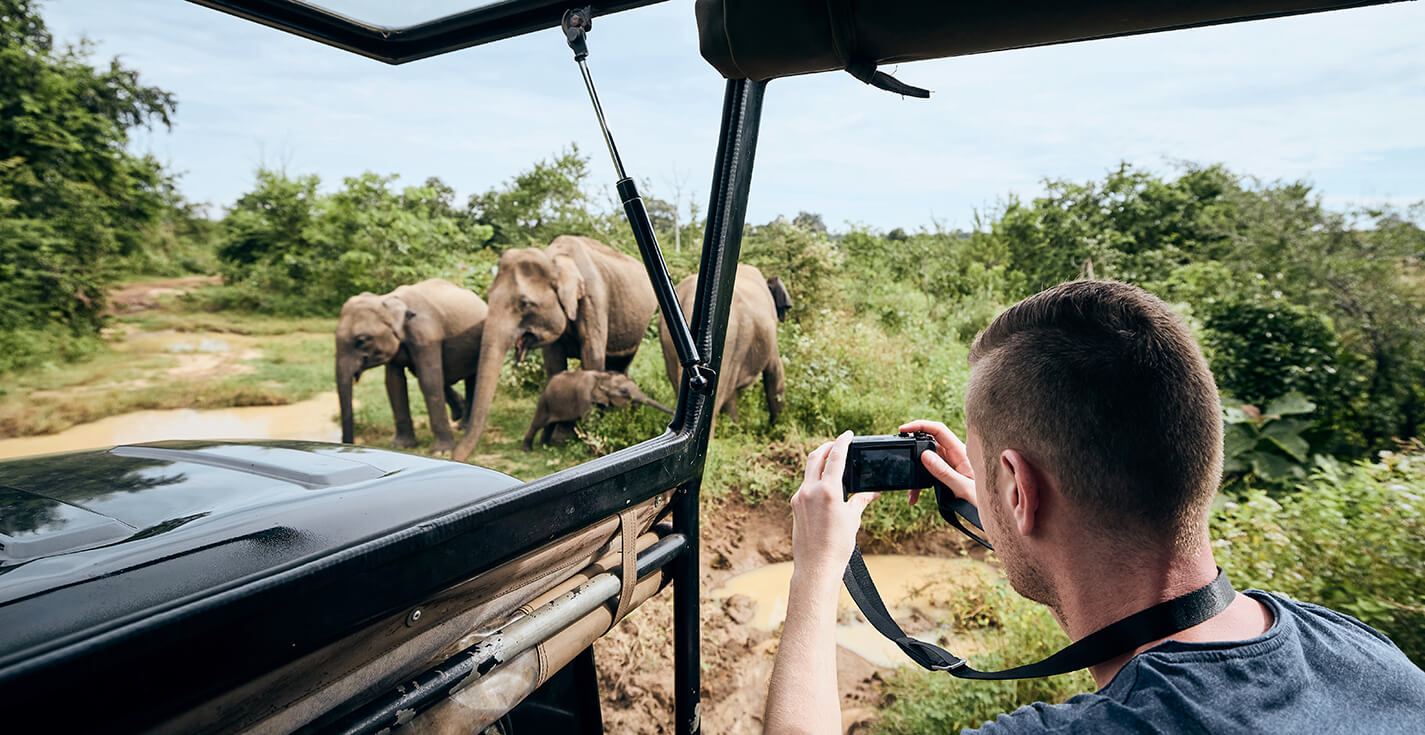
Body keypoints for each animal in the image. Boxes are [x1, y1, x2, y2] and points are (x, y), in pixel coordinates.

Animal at [334, 280, 487, 452]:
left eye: (361, 340)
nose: (349, 444)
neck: (386, 300)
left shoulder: (426, 335)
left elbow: (429, 381)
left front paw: (441, 451)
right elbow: (394, 383)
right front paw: (401, 446)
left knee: (471, 378)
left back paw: (463, 425)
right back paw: (459, 418)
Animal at [524, 370, 672, 450]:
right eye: (624, 391)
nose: (673, 412)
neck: (603, 376)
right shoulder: (584, 395)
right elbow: (590, 422)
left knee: (550, 425)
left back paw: (545, 446)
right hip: (545, 401)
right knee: (537, 423)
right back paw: (527, 449)